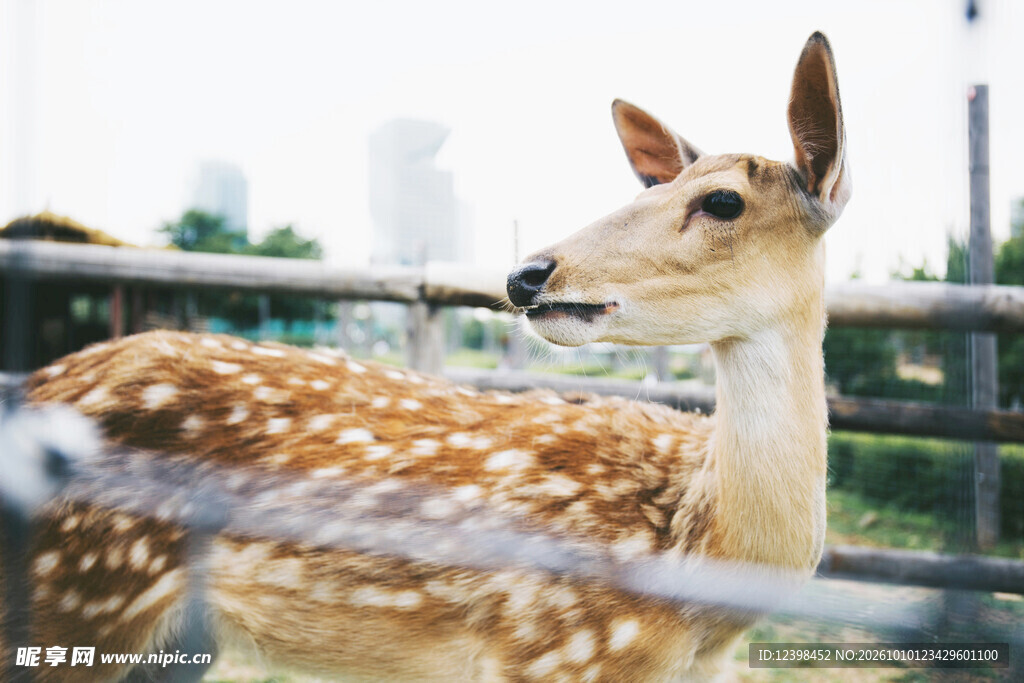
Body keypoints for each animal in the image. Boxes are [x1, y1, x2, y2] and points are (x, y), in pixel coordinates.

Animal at [2, 30, 848, 682]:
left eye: (722, 200)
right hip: (67, 600)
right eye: (648, 189)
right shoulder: (547, 652)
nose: (527, 273)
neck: (702, 611)